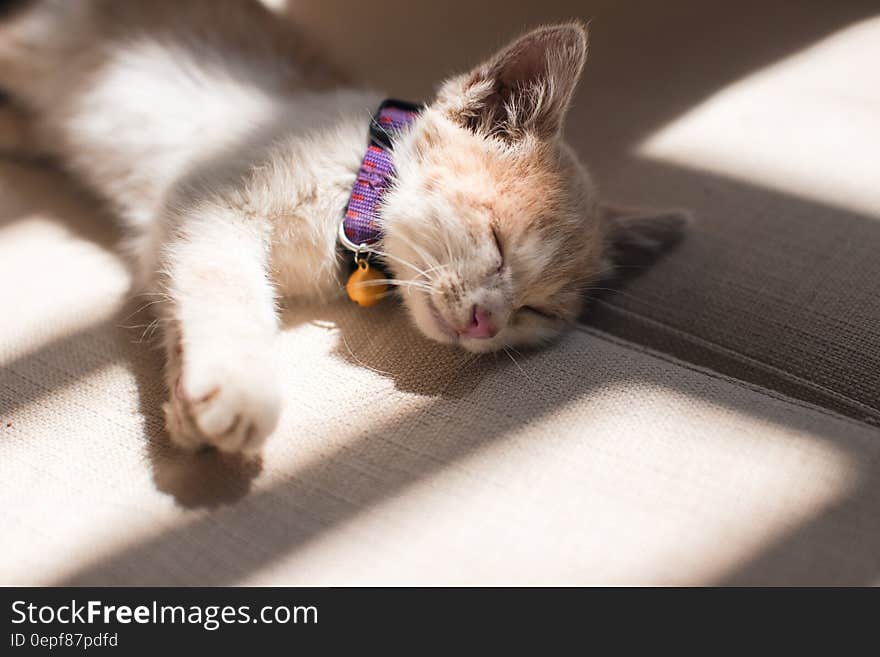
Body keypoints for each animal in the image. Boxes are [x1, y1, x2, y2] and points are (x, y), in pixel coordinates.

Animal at [0, 0, 688, 454]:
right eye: (496, 243)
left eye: (537, 312)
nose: (485, 322)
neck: (351, 188)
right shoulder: (202, 200)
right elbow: (227, 285)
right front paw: (240, 388)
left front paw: (189, 409)